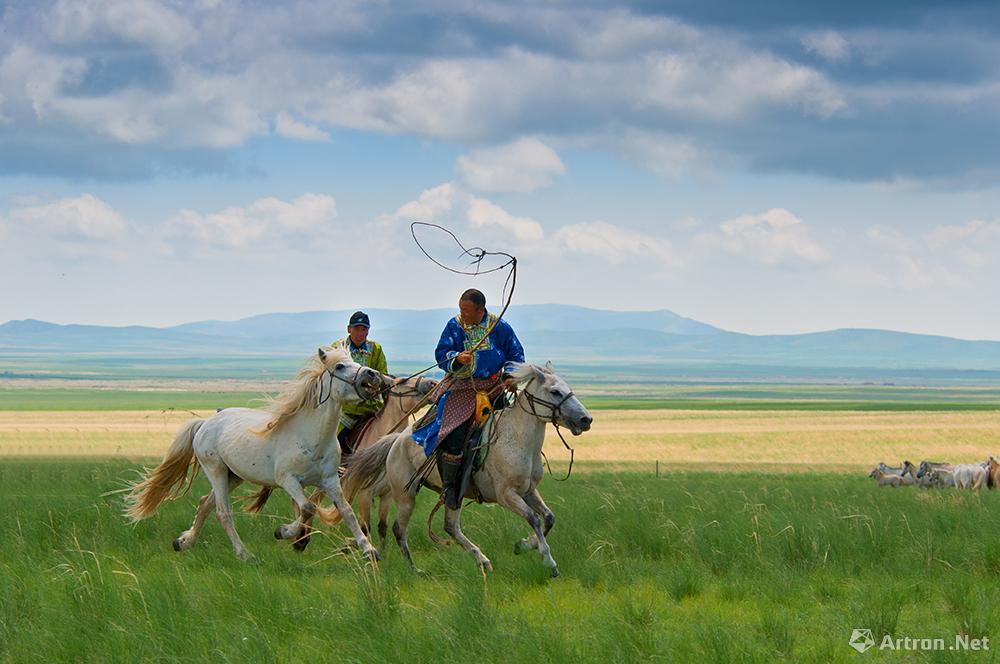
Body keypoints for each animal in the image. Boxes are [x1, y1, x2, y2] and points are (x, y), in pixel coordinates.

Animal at [123, 350, 388, 564]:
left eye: (356, 361)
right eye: (340, 366)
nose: (373, 375)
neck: (310, 436)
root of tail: (205, 423)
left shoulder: (330, 480)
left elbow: (347, 512)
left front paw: (369, 551)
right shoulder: (288, 480)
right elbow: (307, 507)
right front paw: (283, 532)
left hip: (234, 476)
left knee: (205, 503)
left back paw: (184, 542)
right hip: (216, 470)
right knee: (222, 512)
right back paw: (245, 555)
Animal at [328, 364, 592, 576]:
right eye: (555, 391)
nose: (586, 419)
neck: (517, 439)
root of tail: (396, 439)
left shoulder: (528, 491)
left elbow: (548, 518)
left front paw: (524, 545)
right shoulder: (506, 495)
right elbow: (534, 519)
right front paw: (549, 561)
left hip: (452, 493)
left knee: (450, 527)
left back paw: (482, 560)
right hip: (405, 495)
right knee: (397, 529)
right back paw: (414, 569)